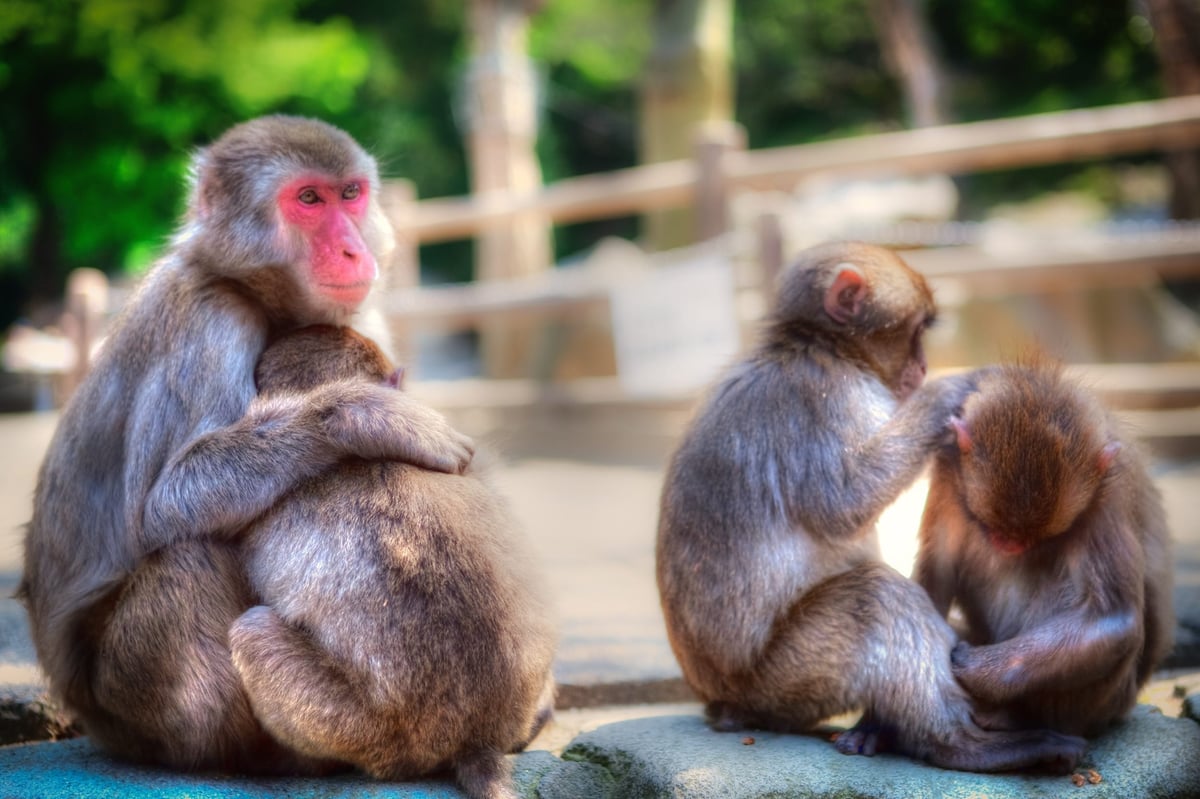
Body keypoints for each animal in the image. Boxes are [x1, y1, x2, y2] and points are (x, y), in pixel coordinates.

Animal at [20, 115, 474, 774]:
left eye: (351, 194)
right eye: (308, 199)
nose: (353, 249)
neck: (256, 293)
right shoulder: (210, 318)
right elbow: (162, 505)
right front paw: (368, 417)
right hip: (123, 705)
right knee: (190, 556)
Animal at [656, 241, 1087, 773]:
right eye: (917, 330)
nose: (923, 367)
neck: (821, 347)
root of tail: (719, 702)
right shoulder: (827, 397)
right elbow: (844, 503)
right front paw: (950, 390)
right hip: (783, 681)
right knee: (875, 600)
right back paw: (966, 746)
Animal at [913, 359, 1174, 738]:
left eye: (1038, 538)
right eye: (990, 525)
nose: (1009, 545)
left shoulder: (1107, 497)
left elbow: (1113, 618)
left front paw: (974, 669)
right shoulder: (949, 471)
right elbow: (937, 575)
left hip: (1103, 705)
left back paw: (1018, 716)